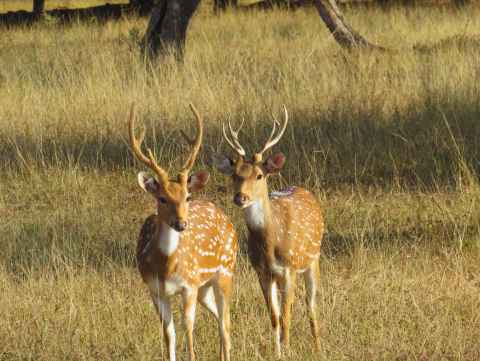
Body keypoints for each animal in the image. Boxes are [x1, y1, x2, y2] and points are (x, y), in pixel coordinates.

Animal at [129, 103, 238, 360]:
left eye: (187, 196)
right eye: (162, 198)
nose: (181, 224)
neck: (167, 267)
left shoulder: (189, 285)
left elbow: (188, 329)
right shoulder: (155, 290)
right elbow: (169, 334)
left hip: (225, 271)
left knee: (226, 322)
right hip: (204, 286)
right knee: (219, 318)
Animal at [213, 107, 322, 354]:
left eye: (259, 175)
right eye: (235, 175)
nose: (240, 197)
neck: (271, 244)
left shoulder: (289, 268)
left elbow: (286, 316)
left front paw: (288, 349)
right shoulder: (262, 272)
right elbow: (274, 317)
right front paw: (278, 351)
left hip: (313, 258)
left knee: (311, 304)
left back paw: (318, 346)